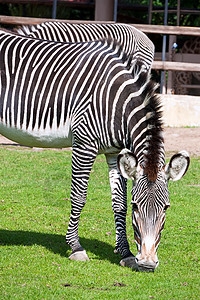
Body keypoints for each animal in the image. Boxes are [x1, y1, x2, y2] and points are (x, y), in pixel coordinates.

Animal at [0, 28, 189, 272]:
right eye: (136, 206)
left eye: (166, 208)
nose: (147, 264)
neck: (117, 103)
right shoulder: (84, 144)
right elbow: (79, 195)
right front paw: (76, 247)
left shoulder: (115, 152)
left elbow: (118, 203)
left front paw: (126, 253)